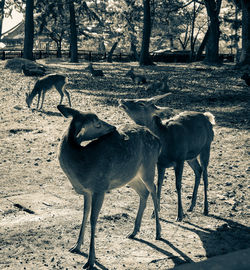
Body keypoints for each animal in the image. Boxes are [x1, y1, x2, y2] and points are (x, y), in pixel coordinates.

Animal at [57, 105, 162, 268]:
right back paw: (133, 231)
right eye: (97, 124)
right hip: (130, 175)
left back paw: (158, 233)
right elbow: (84, 214)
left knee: (153, 190)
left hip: (148, 167)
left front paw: (90, 261)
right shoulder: (87, 192)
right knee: (144, 192)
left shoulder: (100, 187)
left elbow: (93, 219)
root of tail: (158, 140)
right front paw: (76, 247)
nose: (113, 127)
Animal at [119, 93, 215, 221]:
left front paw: (179, 215)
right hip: (190, 156)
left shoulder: (179, 159)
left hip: (206, 147)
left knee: (205, 175)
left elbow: (178, 185)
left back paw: (205, 209)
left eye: (141, 103)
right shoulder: (160, 163)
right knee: (198, 170)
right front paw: (154, 213)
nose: (122, 100)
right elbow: (159, 184)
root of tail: (207, 117)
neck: (166, 143)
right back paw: (191, 206)